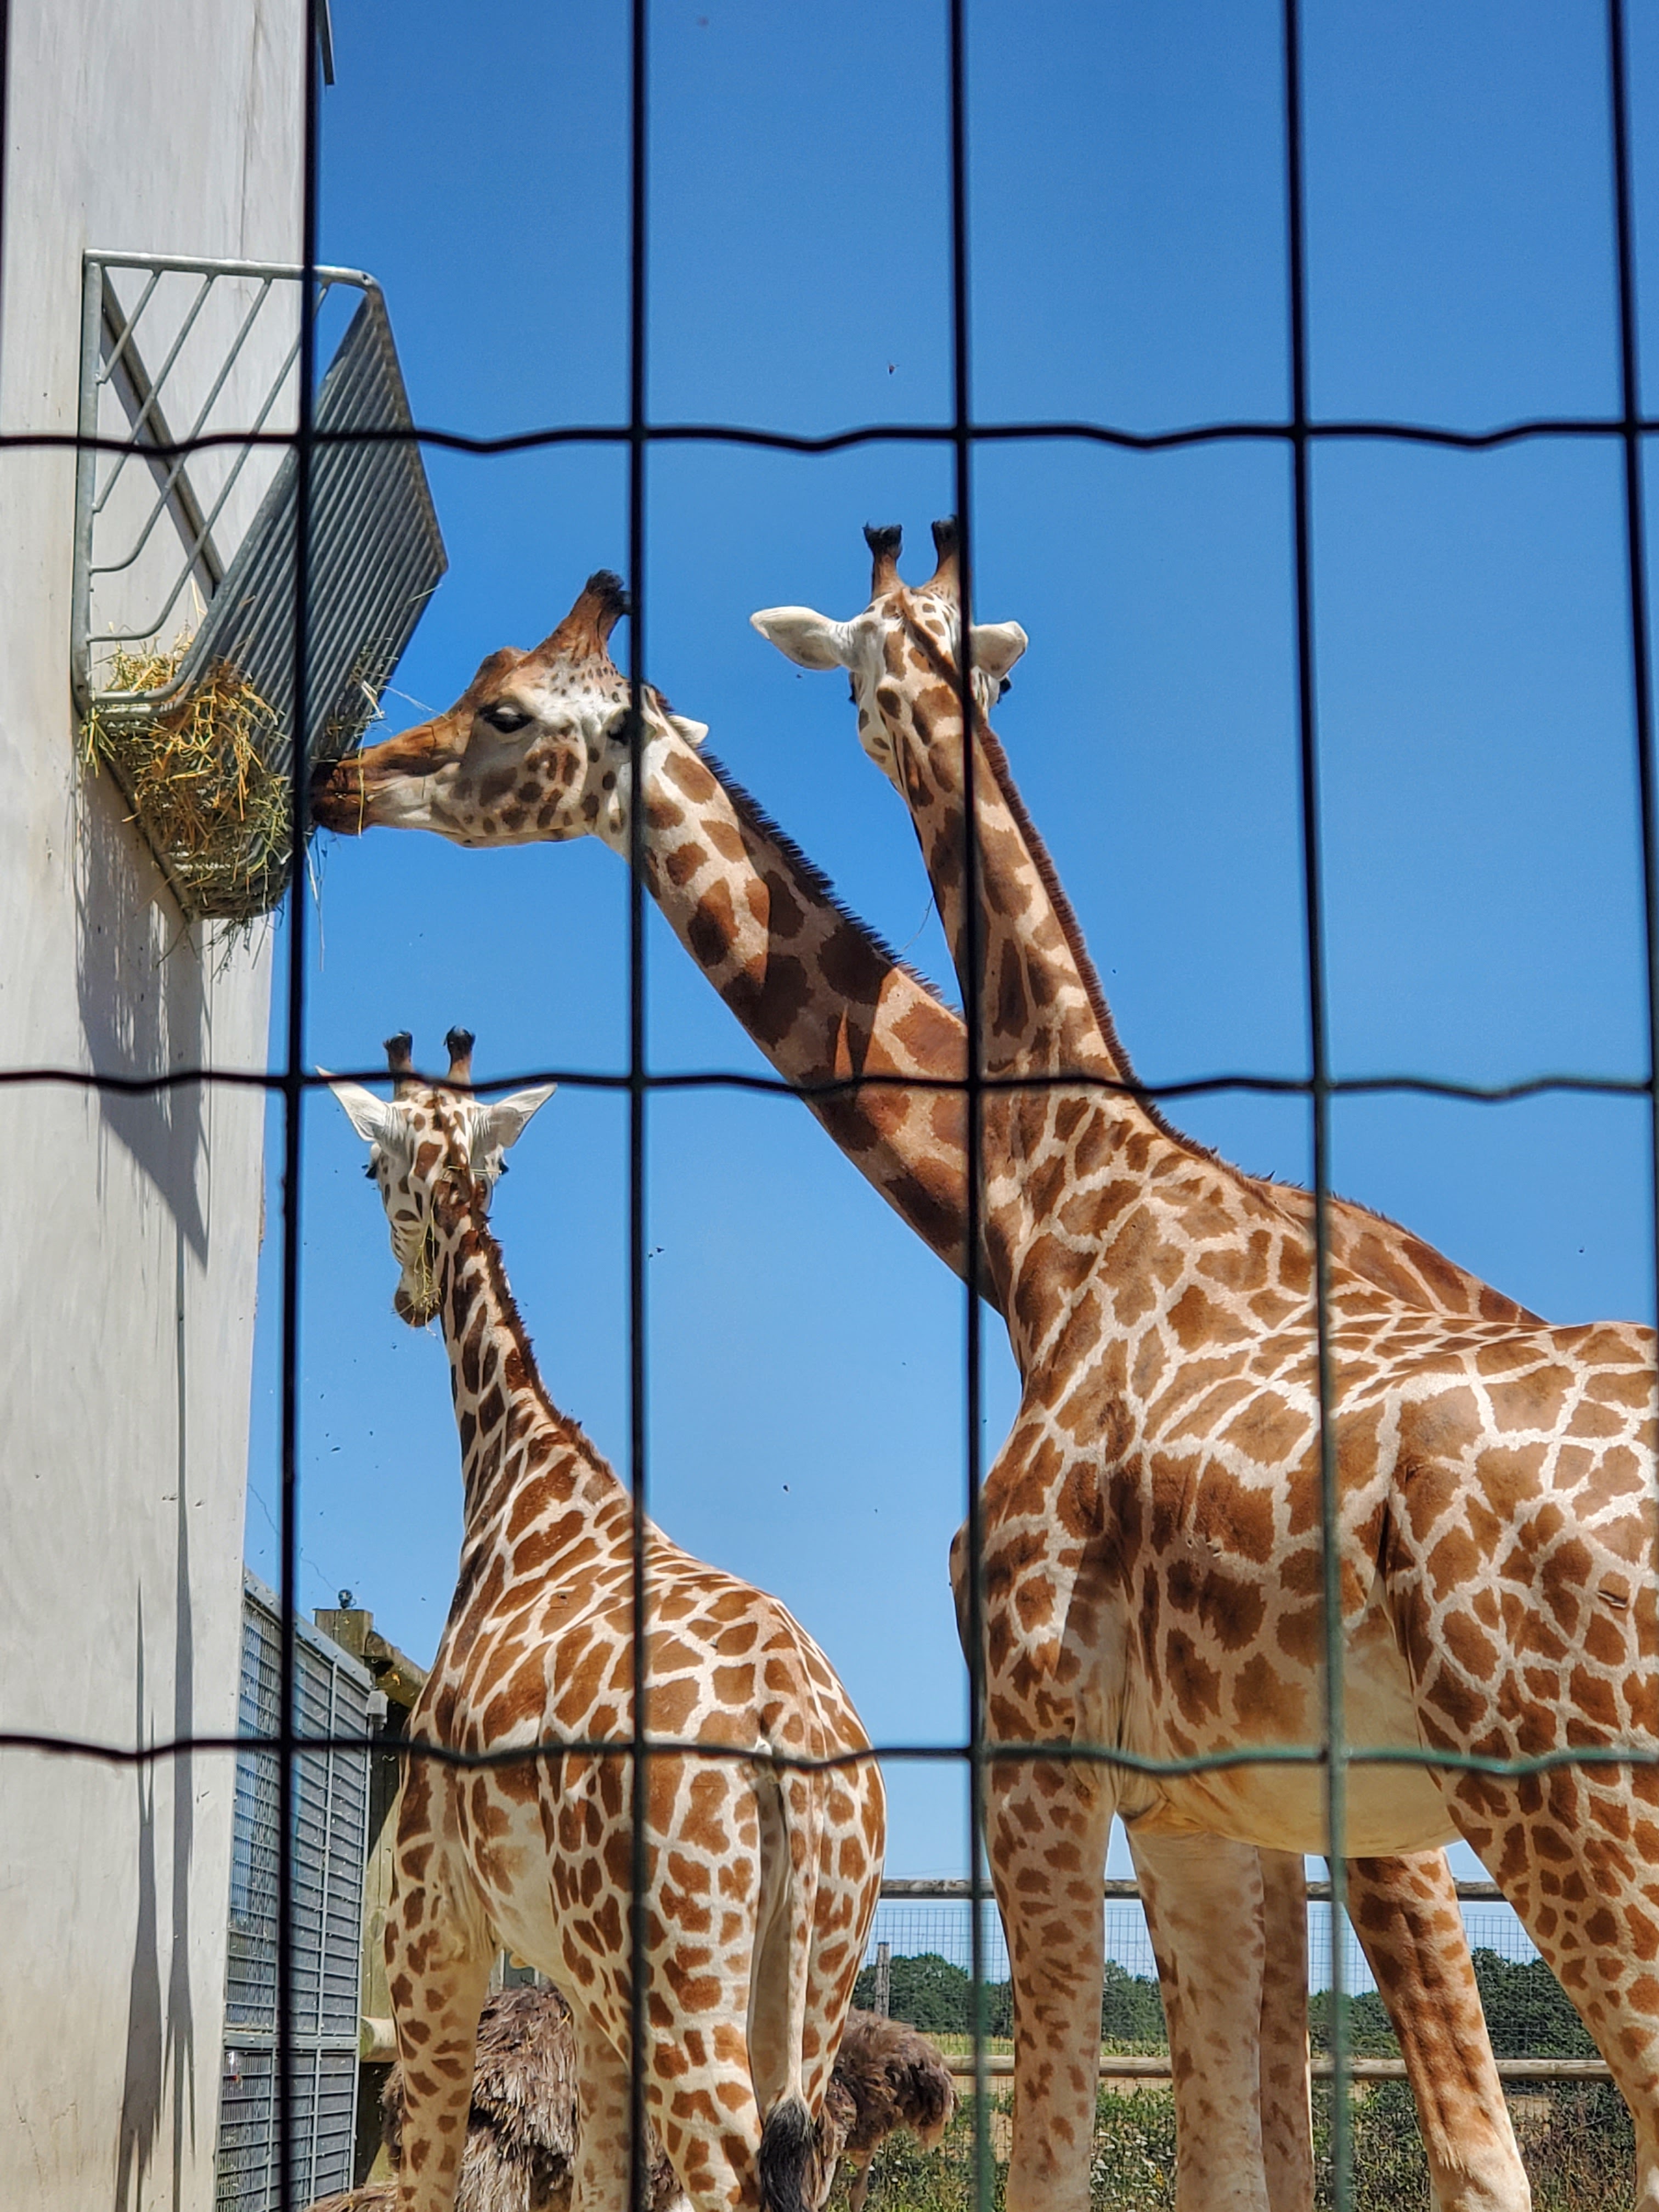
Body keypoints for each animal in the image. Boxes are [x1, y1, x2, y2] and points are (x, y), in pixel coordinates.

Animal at [327, 1029, 885, 2212]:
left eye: (369, 1167)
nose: (406, 1300)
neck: (520, 1482)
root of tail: (790, 1727)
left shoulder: (431, 1926)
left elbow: (426, 2171)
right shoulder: (585, 1995)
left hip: (677, 1981)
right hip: (808, 1982)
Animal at [750, 518, 1659, 2212]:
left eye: (866, 676)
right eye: (914, 662)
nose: (905, 725)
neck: (1067, 1210)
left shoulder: (1046, 1744)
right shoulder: (1215, 1799)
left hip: (1559, 1783)